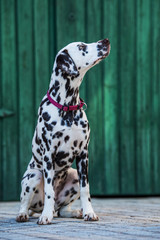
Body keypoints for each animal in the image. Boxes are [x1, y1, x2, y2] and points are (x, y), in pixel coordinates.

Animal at [16, 38, 110, 224]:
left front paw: (89, 212)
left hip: (73, 175)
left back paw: (73, 212)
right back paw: (27, 214)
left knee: (61, 210)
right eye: (81, 47)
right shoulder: (48, 155)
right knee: (26, 203)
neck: (68, 107)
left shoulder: (83, 154)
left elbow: (86, 189)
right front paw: (45, 217)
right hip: (34, 175)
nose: (106, 41)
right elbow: (49, 190)